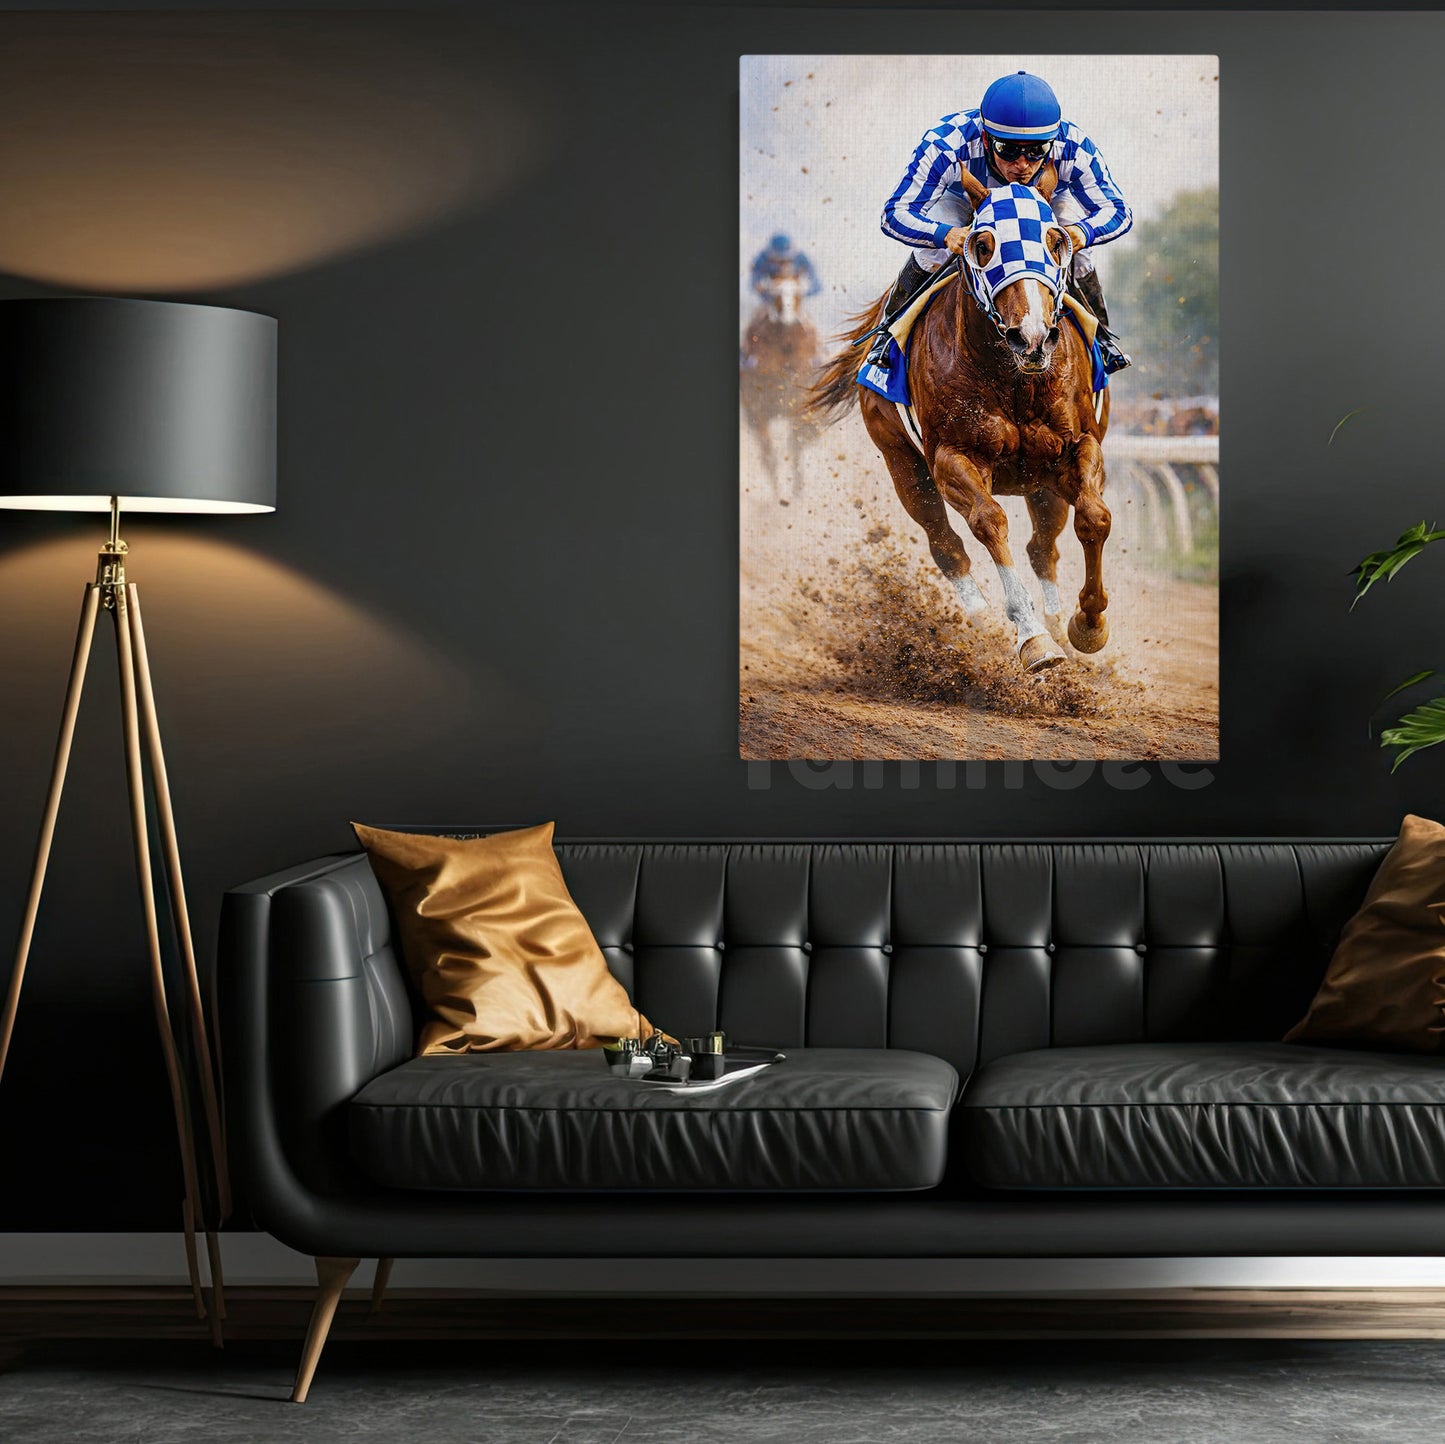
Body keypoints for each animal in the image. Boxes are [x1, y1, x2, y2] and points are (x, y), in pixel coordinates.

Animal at [741, 261, 822, 505]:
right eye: (775, 292)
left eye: (797, 292)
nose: (788, 317)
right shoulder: (758, 409)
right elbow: (770, 455)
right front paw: (781, 496)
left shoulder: (799, 404)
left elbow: (796, 447)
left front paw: (798, 492)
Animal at [808, 164, 1111, 673]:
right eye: (983, 245)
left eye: (1055, 240)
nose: (1032, 336)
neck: (1015, 378)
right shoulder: (952, 457)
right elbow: (988, 521)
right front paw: (1032, 640)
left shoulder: (1076, 446)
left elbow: (1094, 517)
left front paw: (1087, 625)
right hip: (902, 462)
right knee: (945, 545)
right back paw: (981, 629)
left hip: (1041, 481)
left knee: (1042, 546)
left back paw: (1055, 622)